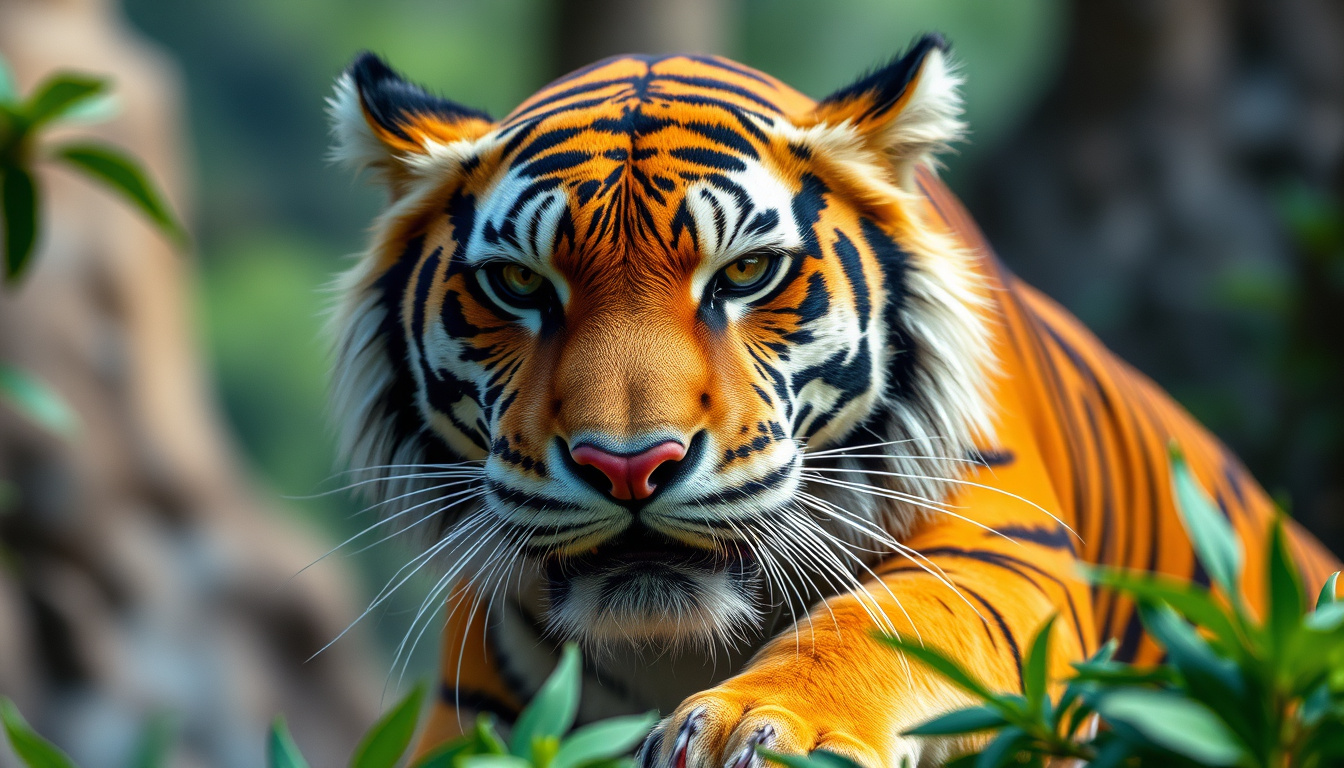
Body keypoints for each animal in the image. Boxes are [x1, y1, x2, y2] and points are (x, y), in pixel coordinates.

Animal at [325, 34, 1341, 767]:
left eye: (746, 273)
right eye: (520, 285)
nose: (631, 466)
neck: (671, 647)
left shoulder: (1001, 544)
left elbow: (878, 624)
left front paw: (754, 725)